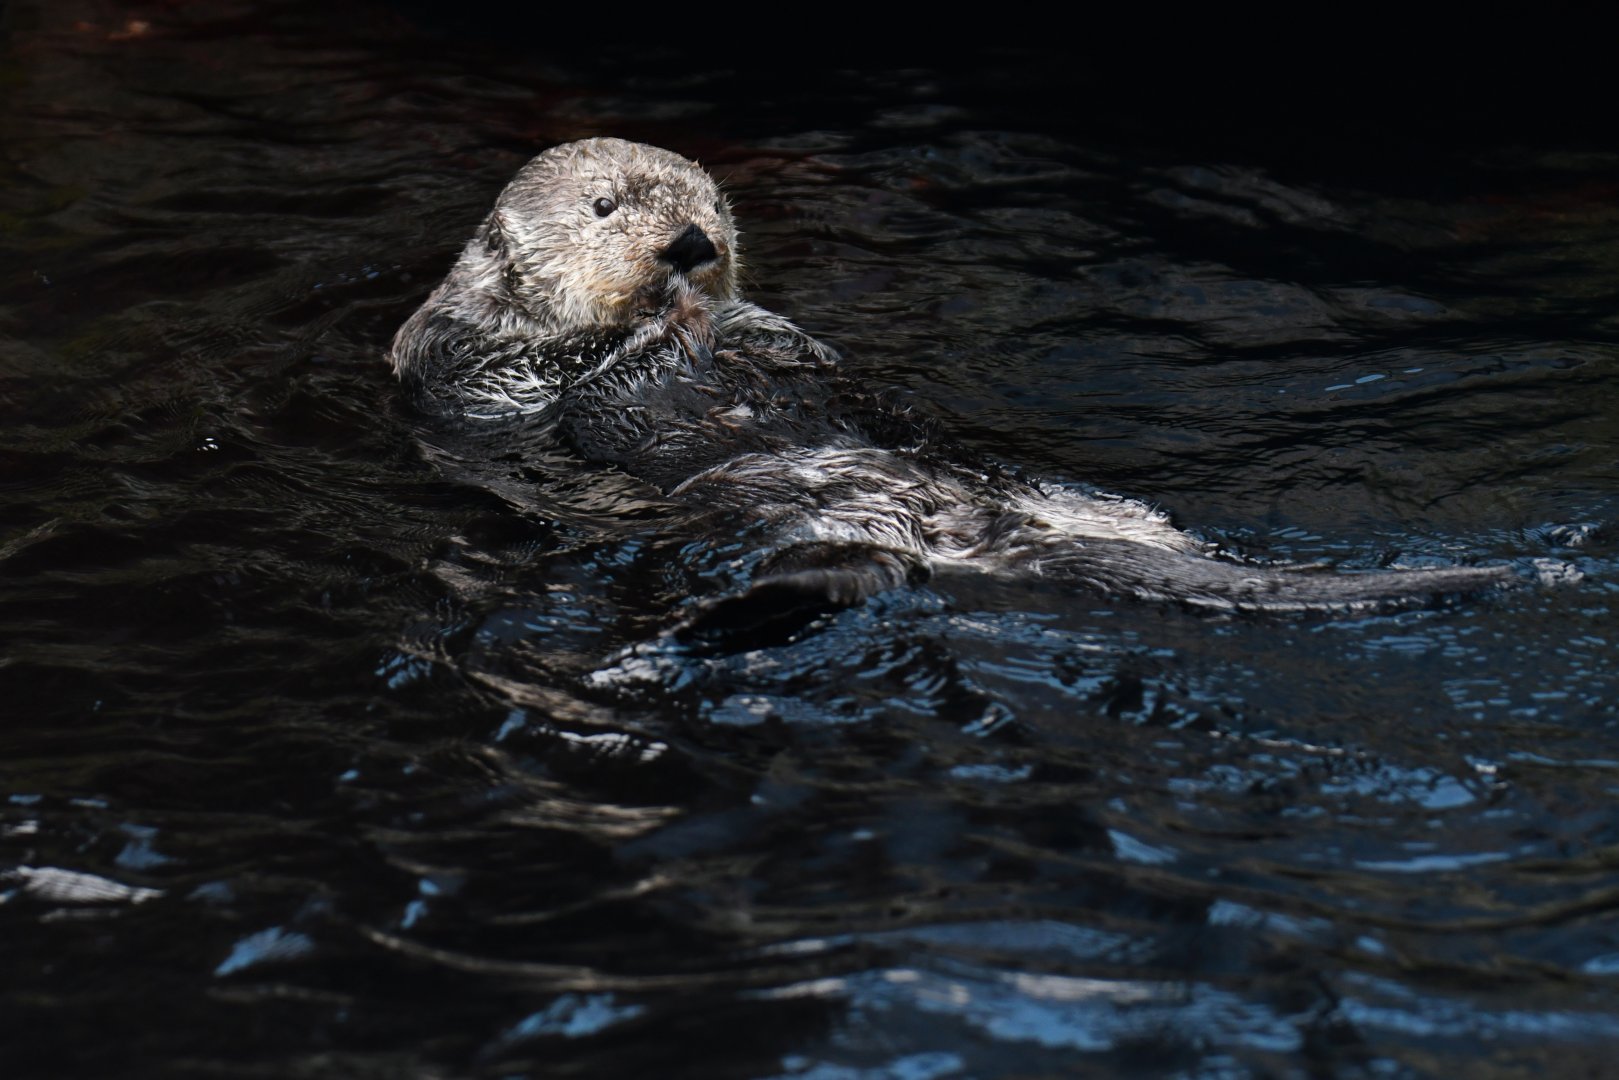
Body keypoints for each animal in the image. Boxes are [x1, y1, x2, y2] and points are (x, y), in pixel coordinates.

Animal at [390, 137, 1513, 627]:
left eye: (710, 201)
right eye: (604, 207)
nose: (691, 246)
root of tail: (999, 529)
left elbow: (781, 342)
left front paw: (767, 332)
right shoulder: (470, 371)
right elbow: (552, 374)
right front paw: (667, 324)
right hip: (802, 509)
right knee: (865, 569)